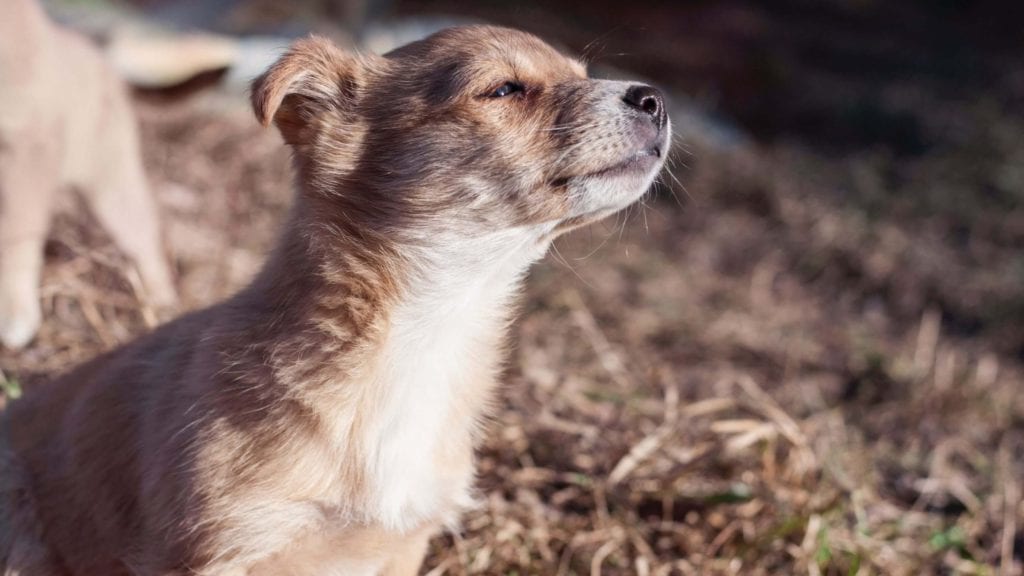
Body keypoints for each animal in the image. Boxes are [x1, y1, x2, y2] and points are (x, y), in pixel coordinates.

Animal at [0, 0, 175, 348]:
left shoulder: (29, 145)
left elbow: (16, 234)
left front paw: (14, 311)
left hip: (111, 182)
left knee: (143, 237)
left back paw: (160, 305)